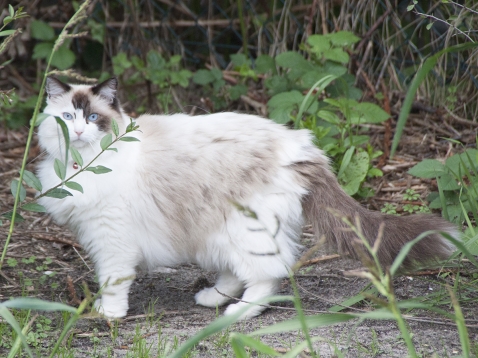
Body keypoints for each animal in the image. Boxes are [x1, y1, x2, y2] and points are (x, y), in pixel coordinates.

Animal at [36, 76, 456, 318]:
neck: (82, 165)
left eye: (93, 118)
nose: (78, 132)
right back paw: (211, 298)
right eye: (68, 118)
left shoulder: (112, 239)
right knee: (236, 272)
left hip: (243, 229)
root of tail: (298, 143)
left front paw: (109, 313)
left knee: (268, 277)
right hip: (219, 232)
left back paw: (237, 315)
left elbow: (113, 281)